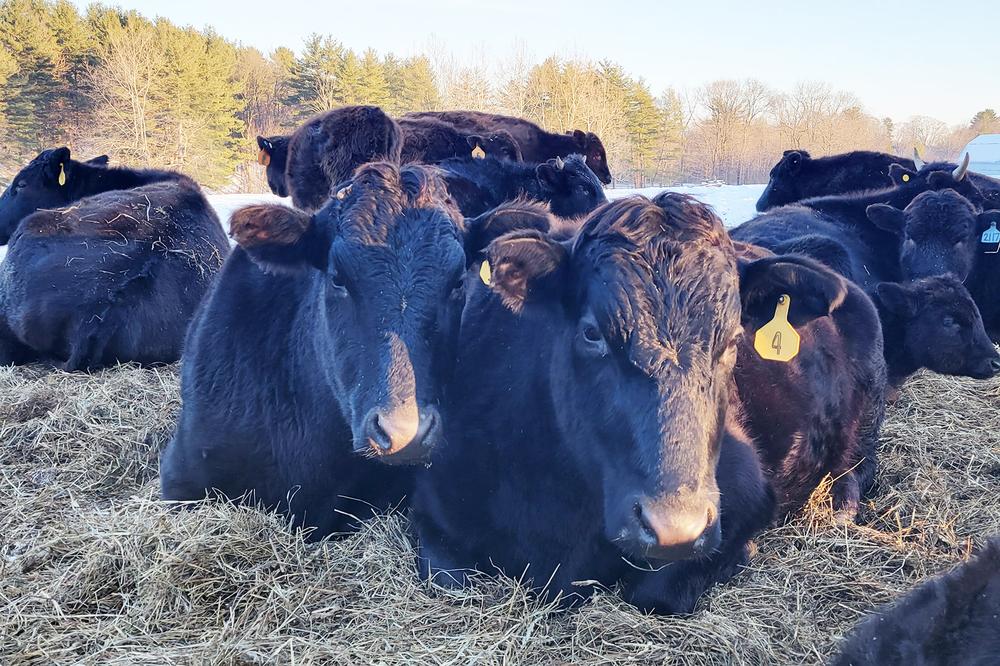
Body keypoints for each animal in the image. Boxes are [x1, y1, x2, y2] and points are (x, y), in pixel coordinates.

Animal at [410, 194, 889, 614]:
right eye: (592, 332)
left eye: (734, 338)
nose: (675, 527)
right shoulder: (436, 505)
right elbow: (448, 578)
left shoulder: (745, 494)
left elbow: (656, 593)